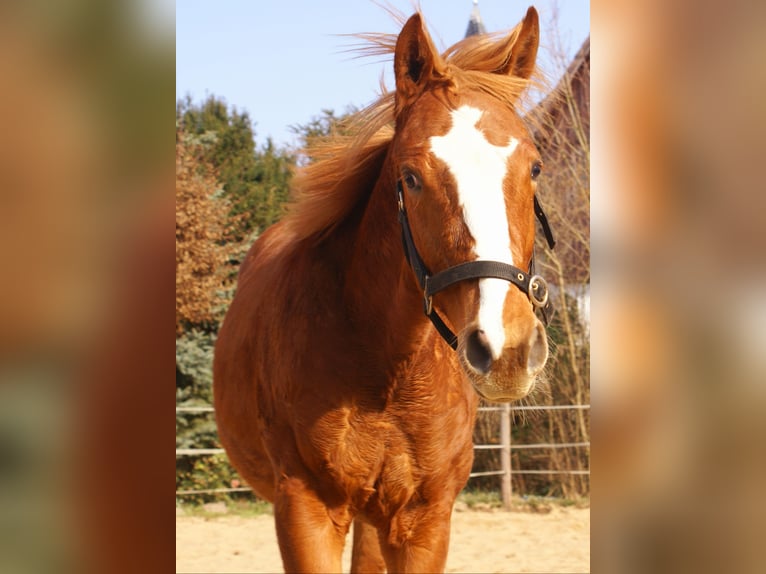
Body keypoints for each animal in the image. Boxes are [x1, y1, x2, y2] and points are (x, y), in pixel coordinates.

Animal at [214, 7, 553, 572]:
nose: (506, 349)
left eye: (534, 168)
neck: (385, 371)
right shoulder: (306, 512)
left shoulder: (423, 520)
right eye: (411, 176)